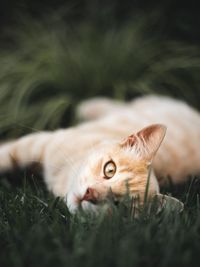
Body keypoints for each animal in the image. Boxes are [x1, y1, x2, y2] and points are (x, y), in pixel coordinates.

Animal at [0, 95, 198, 215]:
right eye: (110, 170)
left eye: (118, 204)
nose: (90, 194)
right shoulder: (40, 142)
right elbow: (8, 154)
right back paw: (89, 106)